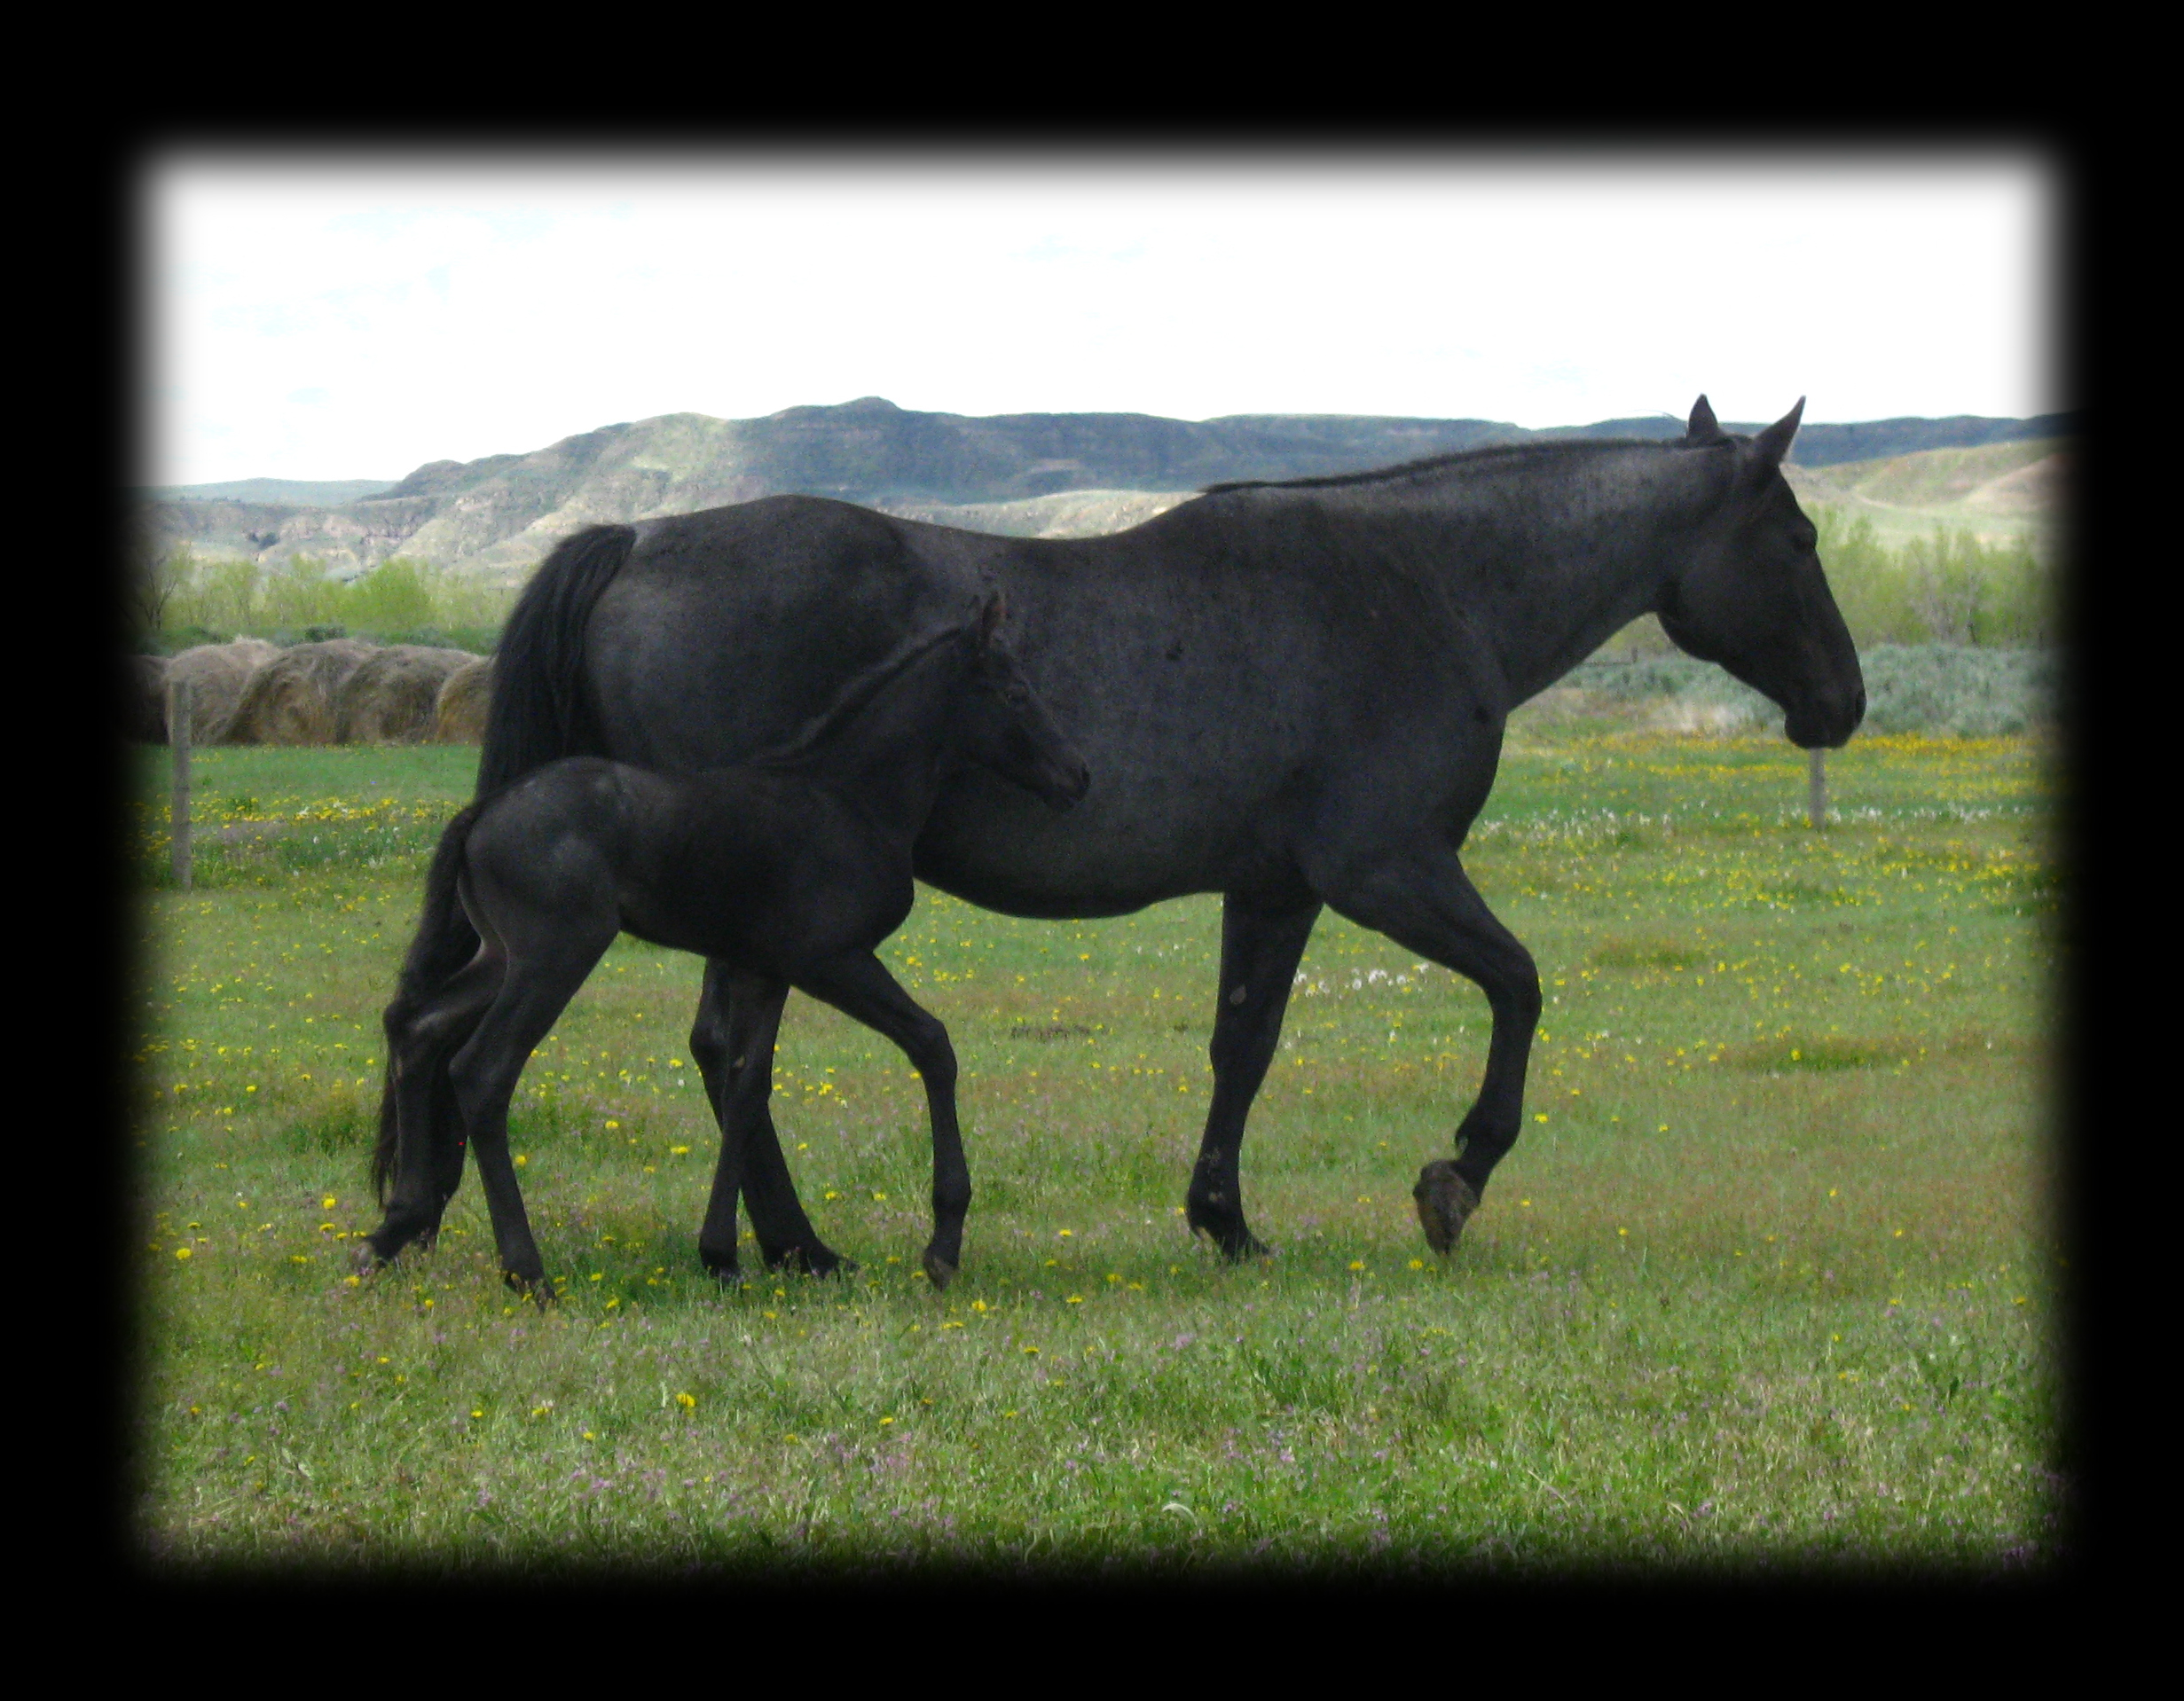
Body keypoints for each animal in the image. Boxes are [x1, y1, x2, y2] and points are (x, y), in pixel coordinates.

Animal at [360, 594, 1090, 1293]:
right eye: (1016, 693)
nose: (1077, 775)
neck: (849, 798)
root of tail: (481, 812)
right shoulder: (831, 959)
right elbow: (933, 1045)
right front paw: (942, 1246)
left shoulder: (762, 968)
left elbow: (746, 1087)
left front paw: (721, 1255)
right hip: (553, 957)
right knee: (483, 1069)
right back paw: (526, 1271)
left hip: (501, 957)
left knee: (417, 1027)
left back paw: (389, 1232)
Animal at [442, 394, 1861, 1276]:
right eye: (1795, 539)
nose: (1842, 701)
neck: (1420, 587)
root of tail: (639, 539)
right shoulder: (1387, 870)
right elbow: (1517, 985)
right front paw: (1454, 1177)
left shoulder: (1276, 889)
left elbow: (1244, 1046)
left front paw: (1222, 1219)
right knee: (732, 1053)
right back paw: (790, 1247)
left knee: (723, 1055)